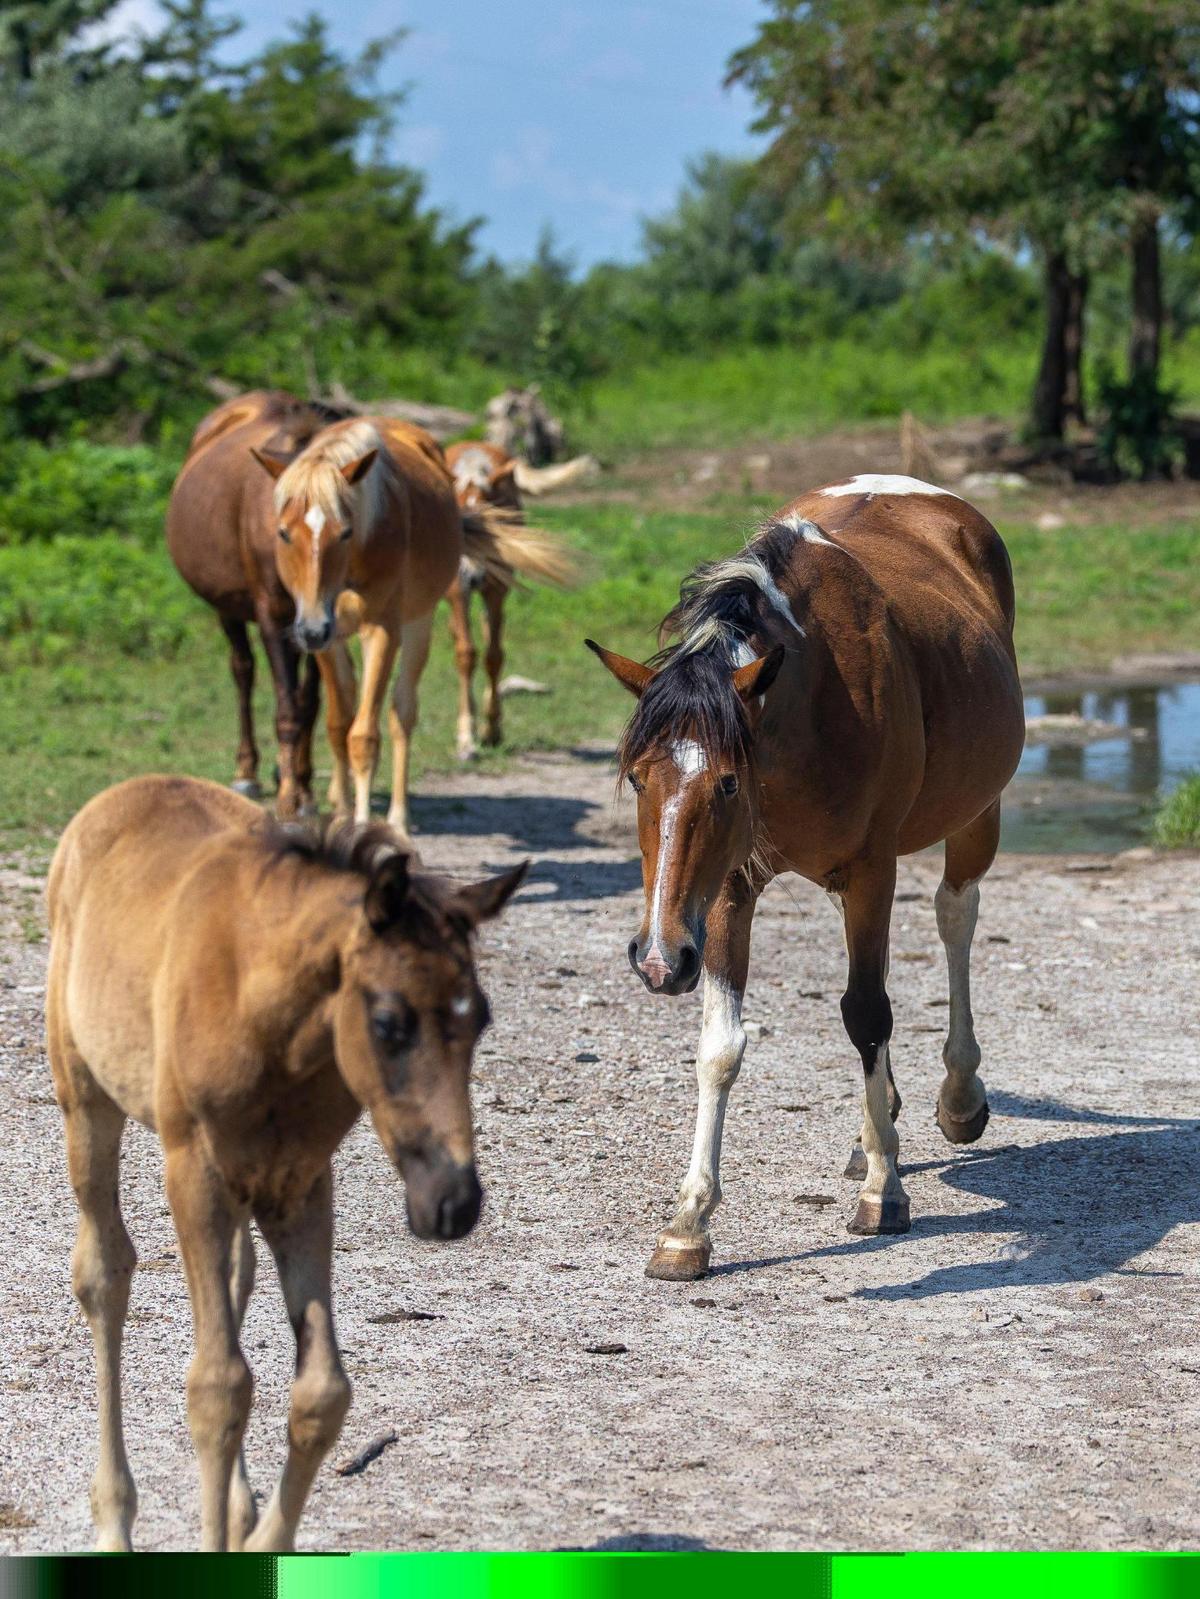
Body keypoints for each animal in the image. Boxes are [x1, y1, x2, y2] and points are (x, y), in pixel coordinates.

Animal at [45, 774, 526, 1551]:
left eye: (479, 1017)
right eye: (389, 1021)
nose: (454, 1201)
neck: (266, 1013)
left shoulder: (300, 1181)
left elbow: (321, 1391)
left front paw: (260, 1537)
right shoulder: (196, 1171)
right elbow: (217, 1386)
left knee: (234, 1279)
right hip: (86, 1098)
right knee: (105, 1272)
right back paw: (114, 1520)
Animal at [166, 390, 349, 817]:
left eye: (346, 531)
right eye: (283, 532)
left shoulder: (322, 625)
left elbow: (307, 702)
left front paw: (303, 787)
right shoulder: (274, 615)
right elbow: (287, 708)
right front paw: (289, 800)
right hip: (228, 606)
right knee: (243, 671)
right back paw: (247, 772)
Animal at [250, 418, 573, 841]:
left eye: (344, 532)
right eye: (285, 533)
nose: (313, 628)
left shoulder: (382, 631)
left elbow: (364, 735)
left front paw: (361, 825)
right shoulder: (326, 641)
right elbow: (338, 725)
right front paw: (340, 813)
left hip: (419, 622)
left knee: (402, 713)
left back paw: (398, 818)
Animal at [587, 474, 1025, 1280]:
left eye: (727, 782)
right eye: (637, 778)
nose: (658, 958)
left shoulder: (873, 869)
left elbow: (868, 1012)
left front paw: (885, 1191)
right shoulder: (725, 891)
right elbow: (722, 1045)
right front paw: (688, 1222)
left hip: (977, 810)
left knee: (955, 916)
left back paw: (956, 1096)